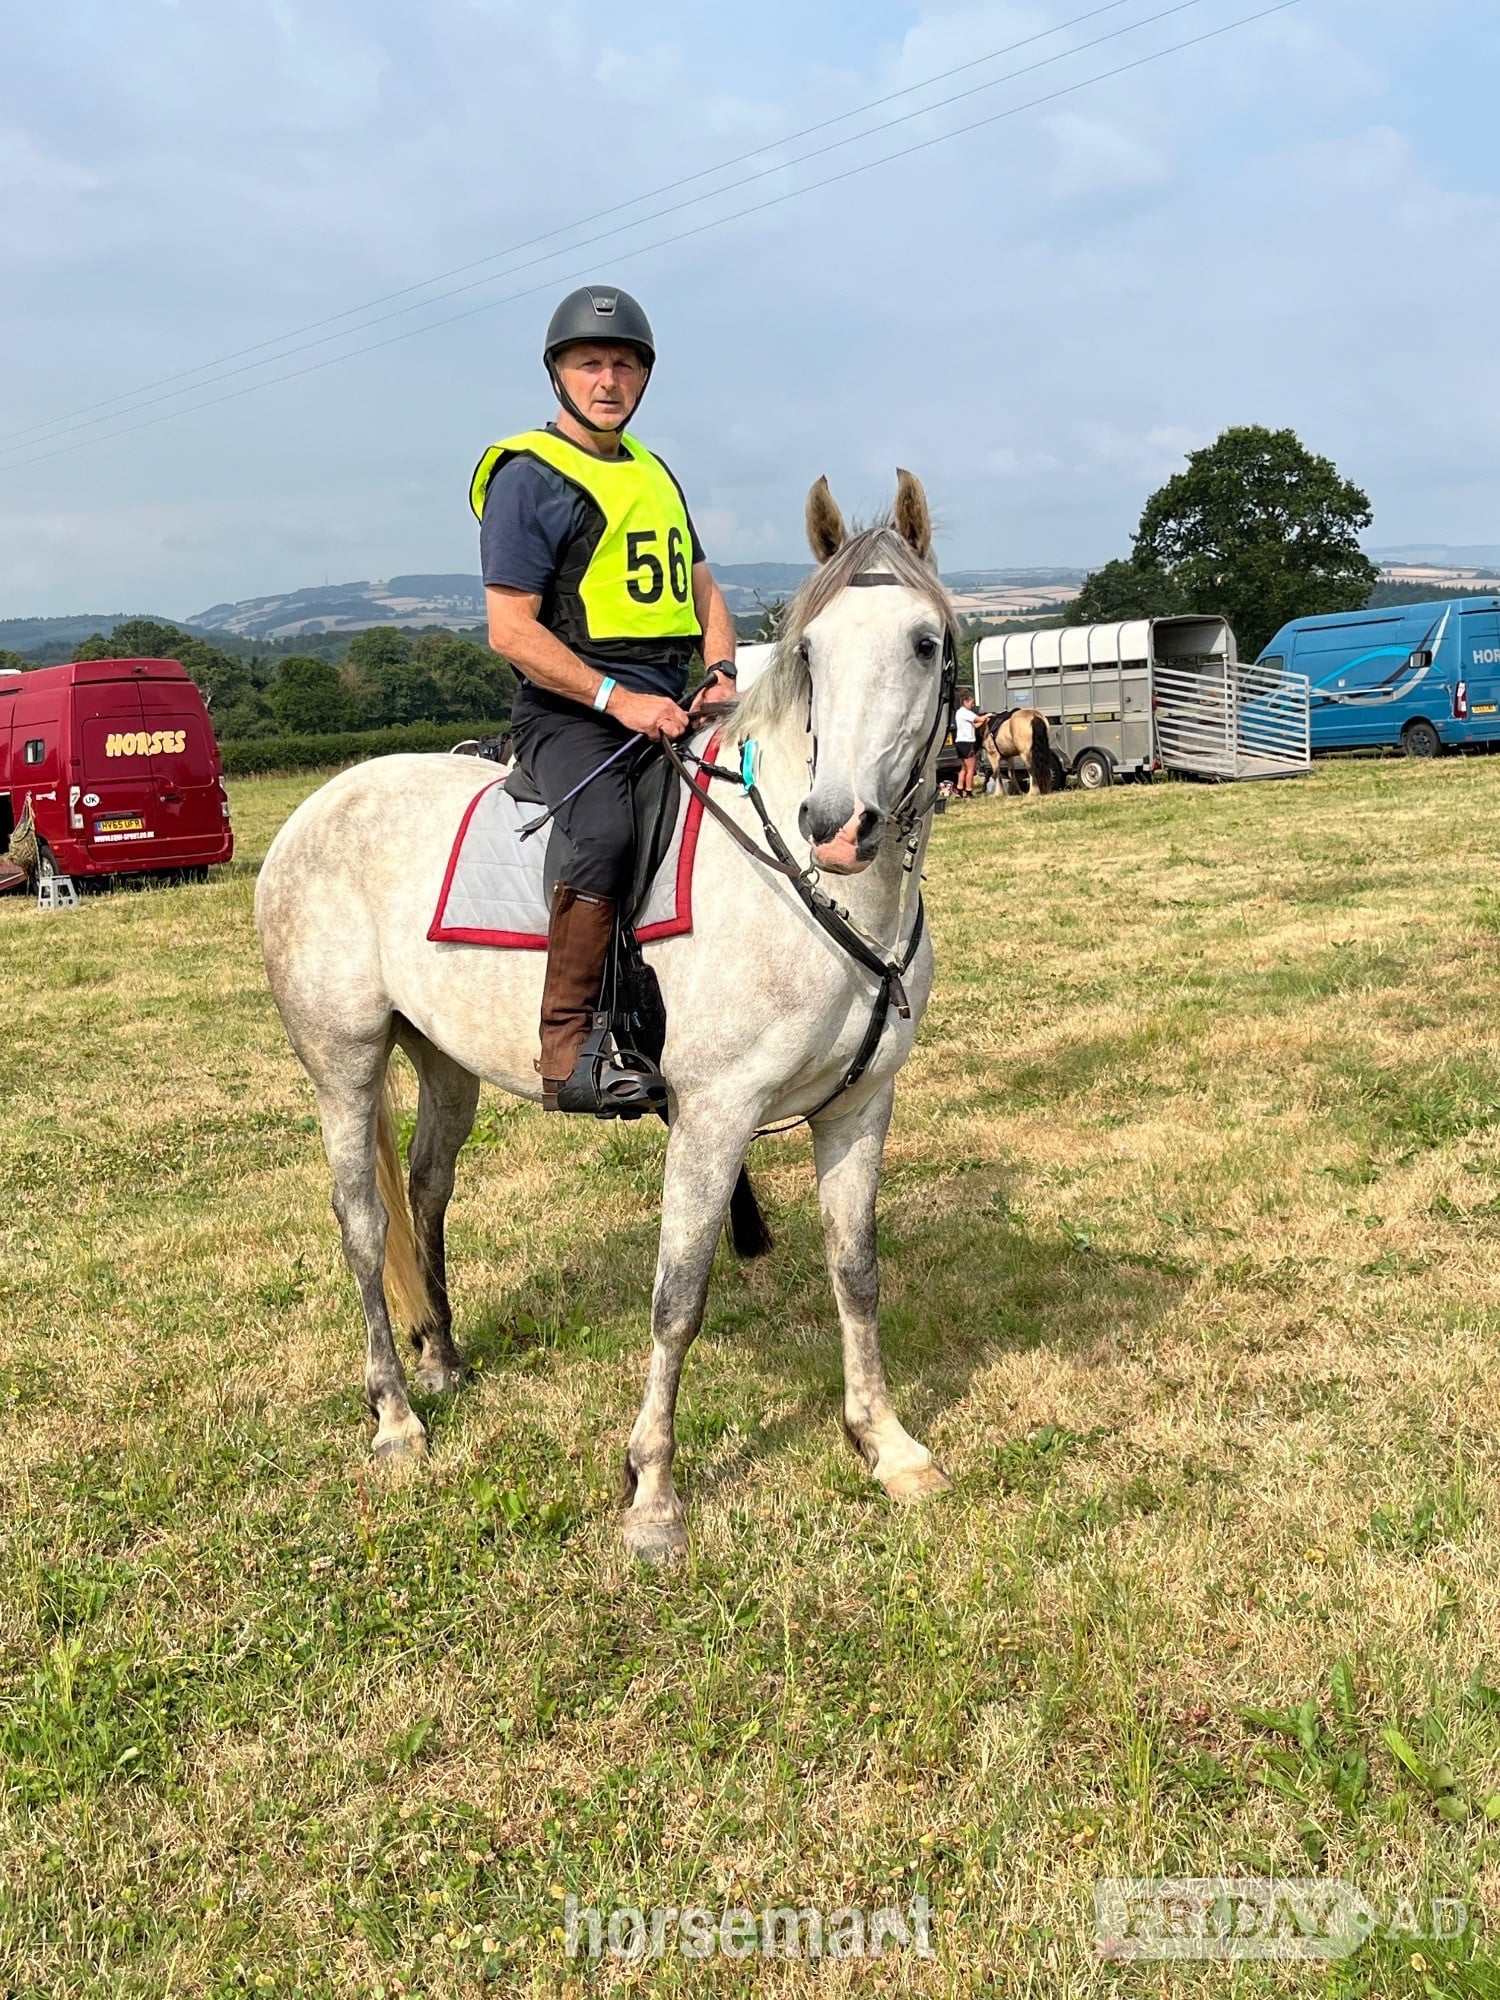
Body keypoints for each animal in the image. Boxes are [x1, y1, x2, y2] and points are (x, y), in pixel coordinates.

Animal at [255, 470, 955, 1559]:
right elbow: (678, 1298)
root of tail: (313, 810)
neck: (813, 889)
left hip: (443, 1061)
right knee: (364, 1225)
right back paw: (397, 1416)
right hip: (343, 1060)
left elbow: (856, 1271)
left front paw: (885, 1443)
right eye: (809, 651)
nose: (838, 826)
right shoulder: (713, 1116)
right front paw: (652, 1493)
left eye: (924, 642)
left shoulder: (859, 1106)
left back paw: (443, 1359)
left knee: (425, 1191)